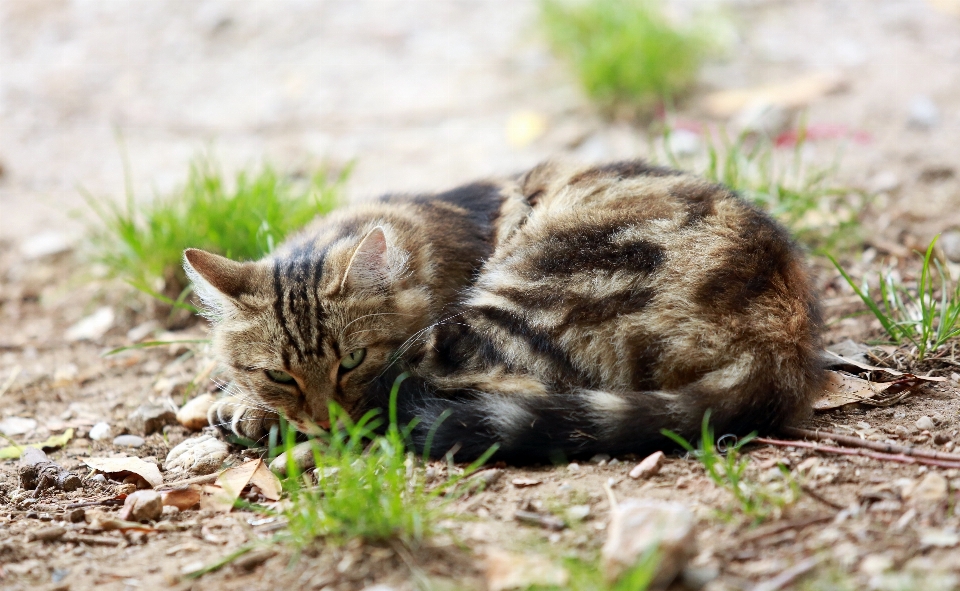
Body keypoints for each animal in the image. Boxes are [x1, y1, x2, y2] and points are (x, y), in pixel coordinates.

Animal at [186, 161, 824, 462]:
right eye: (278, 373)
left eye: (352, 360)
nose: (323, 421)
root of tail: (782, 342)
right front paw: (244, 401)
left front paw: (248, 412)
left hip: (518, 302)